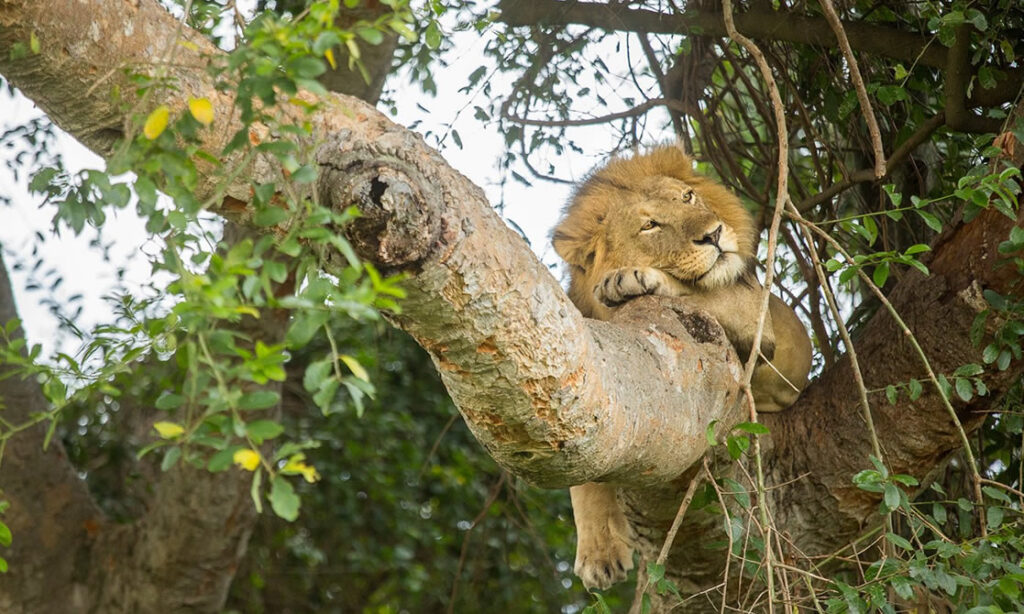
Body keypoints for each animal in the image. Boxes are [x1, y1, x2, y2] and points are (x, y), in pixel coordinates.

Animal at [552, 146, 815, 593]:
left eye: (687, 198)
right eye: (650, 225)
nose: (713, 234)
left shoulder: (754, 316)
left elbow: (699, 289)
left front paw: (629, 278)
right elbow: (582, 476)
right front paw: (599, 553)